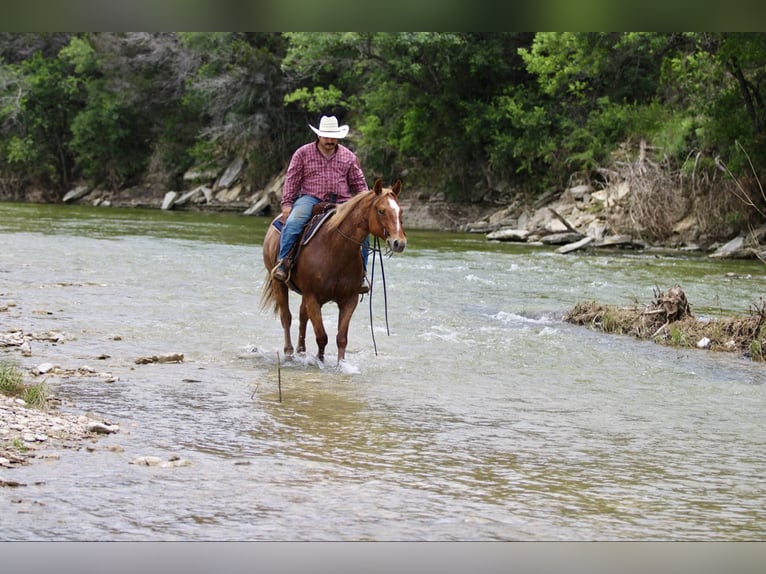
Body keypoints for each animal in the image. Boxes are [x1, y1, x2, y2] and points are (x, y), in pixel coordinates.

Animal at [261, 178, 407, 364]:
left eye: (400, 211)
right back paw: (289, 352)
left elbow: (341, 338)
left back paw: (301, 351)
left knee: (302, 316)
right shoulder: (313, 298)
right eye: (381, 210)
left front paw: (340, 365)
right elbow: (322, 336)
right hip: (279, 284)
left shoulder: (349, 300)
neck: (334, 249)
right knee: (286, 317)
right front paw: (319, 361)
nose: (399, 243)